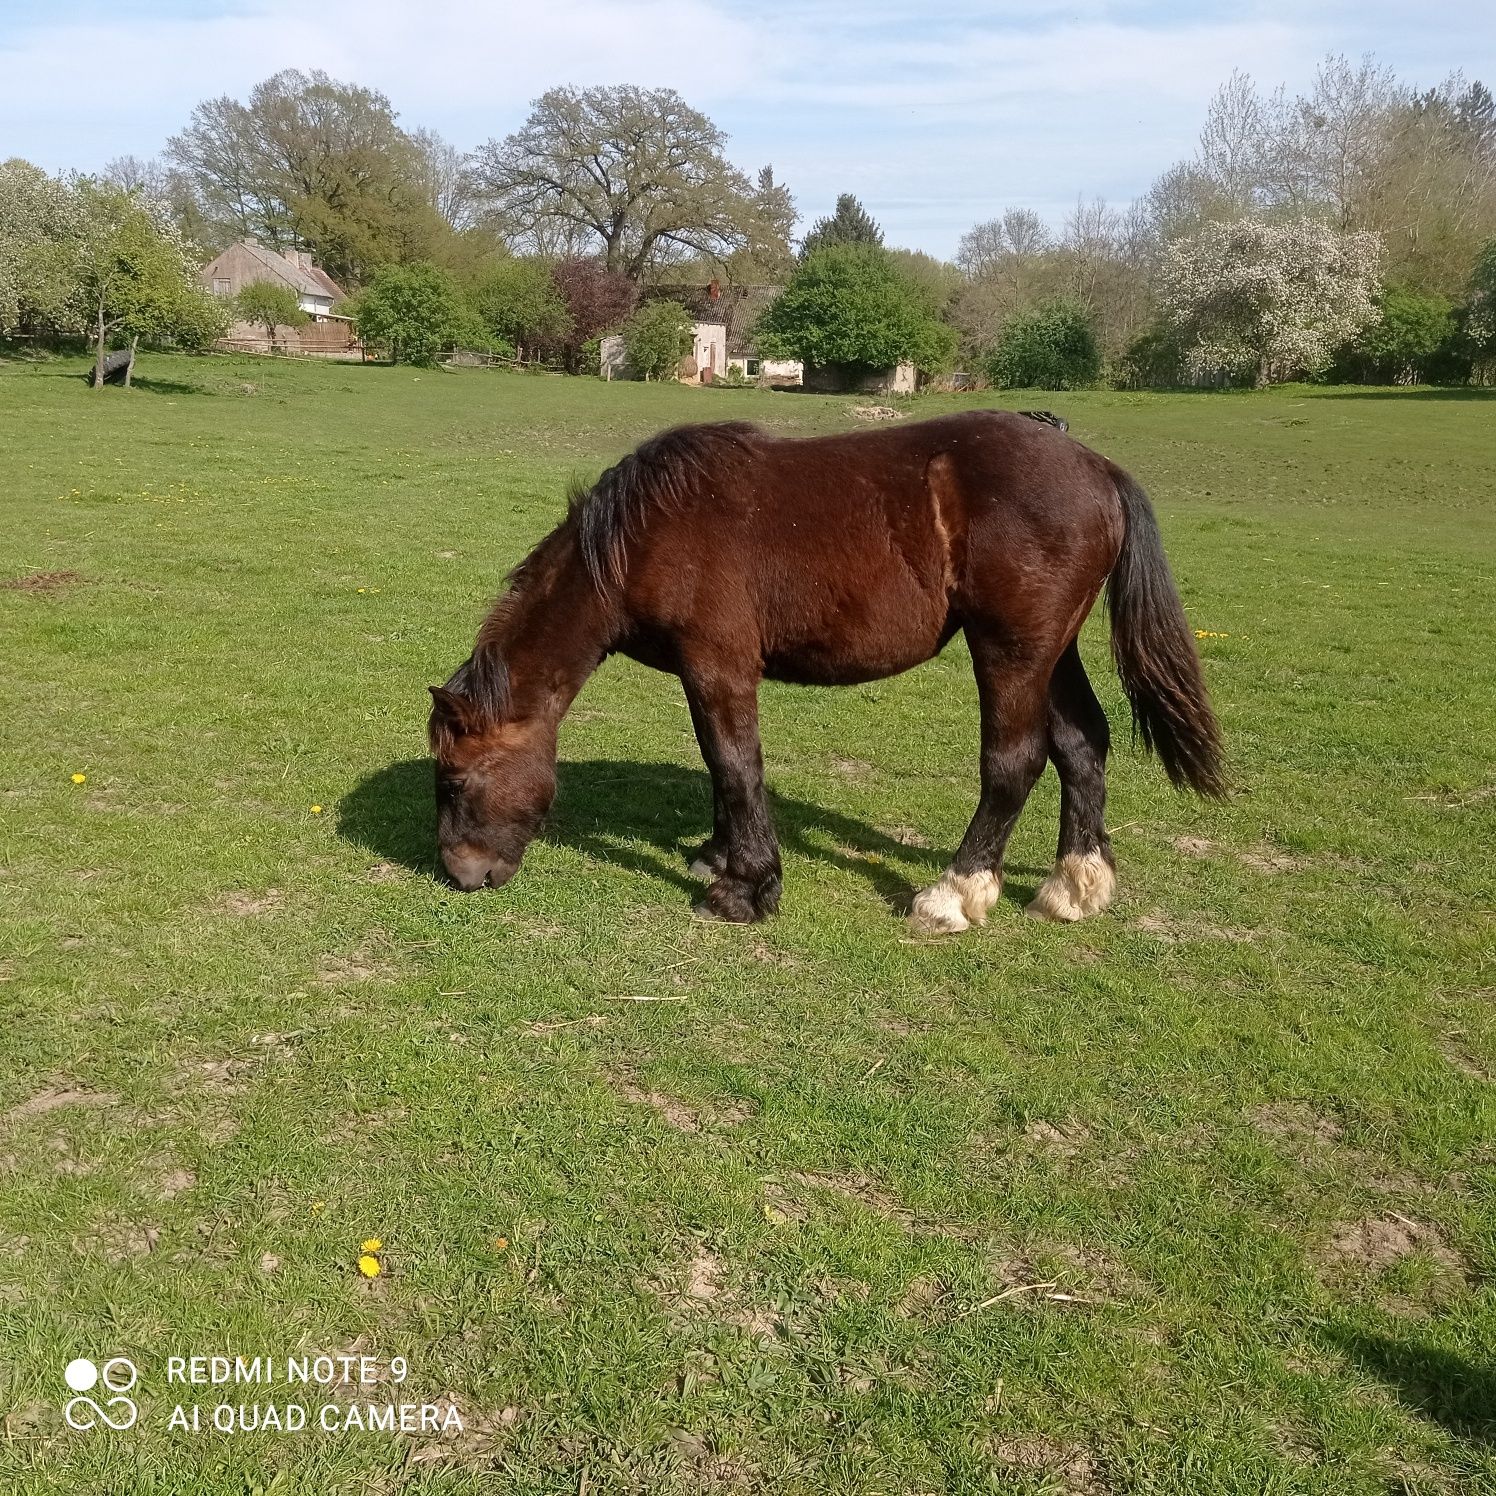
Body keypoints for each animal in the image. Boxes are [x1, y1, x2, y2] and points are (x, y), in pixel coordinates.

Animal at [427, 406, 1220, 921]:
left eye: (456, 780)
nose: (461, 874)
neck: (638, 538)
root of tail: (1100, 468)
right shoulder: (707, 672)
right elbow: (723, 769)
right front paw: (720, 855)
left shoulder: (717, 665)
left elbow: (733, 764)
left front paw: (745, 889)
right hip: (1052, 653)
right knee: (1083, 745)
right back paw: (1075, 885)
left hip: (1010, 652)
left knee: (1014, 762)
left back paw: (955, 892)